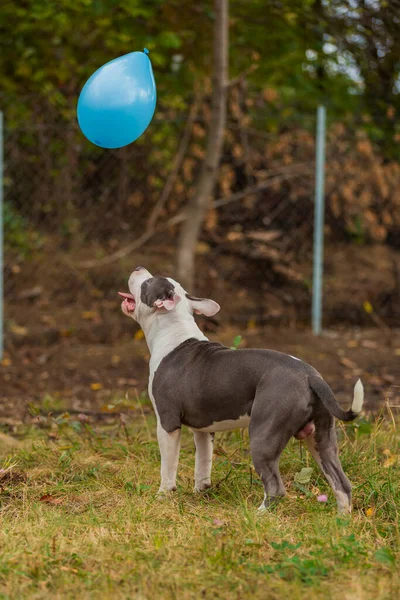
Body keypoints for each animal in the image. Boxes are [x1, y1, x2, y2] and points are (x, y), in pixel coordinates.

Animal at [118, 264, 362, 512]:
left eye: (148, 283)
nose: (138, 267)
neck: (172, 331)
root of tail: (309, 375)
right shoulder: (203, 430)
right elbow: (203, 463)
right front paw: (200, 492)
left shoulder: (167, 423)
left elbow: (167, 466)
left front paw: (163, 496)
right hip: (321, 439)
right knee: (341, 483)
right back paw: (342, 517)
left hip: (263, 437)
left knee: (276, 487)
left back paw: (260, 514)